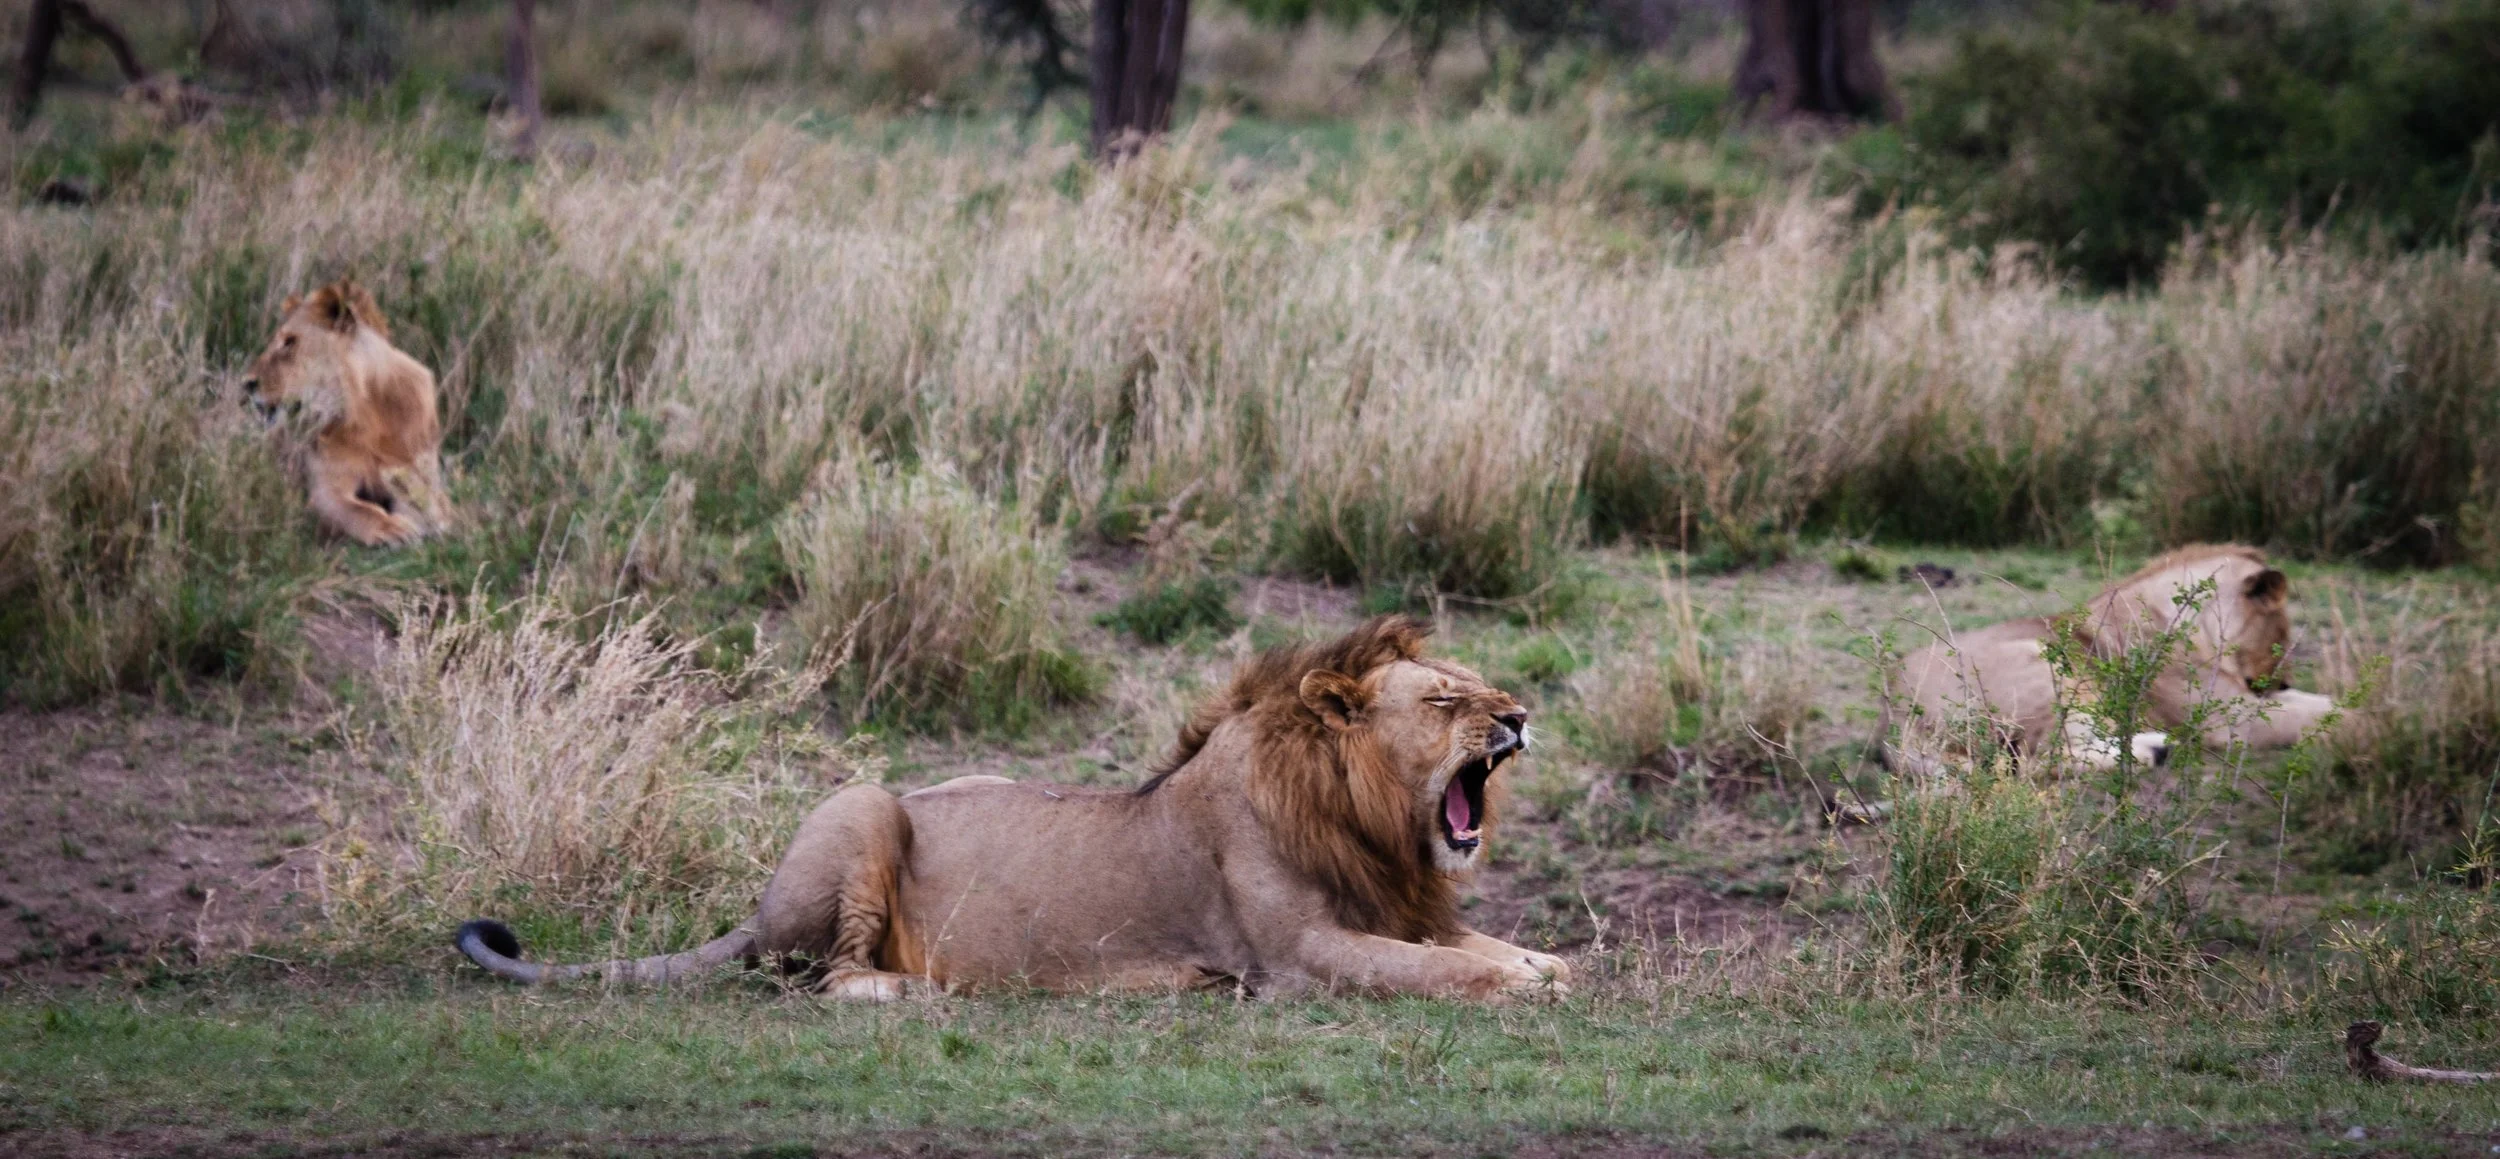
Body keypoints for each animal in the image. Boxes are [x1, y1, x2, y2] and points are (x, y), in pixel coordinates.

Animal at [242, 280, 452, 547]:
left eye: (289, 342)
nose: (246, 383)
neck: (366, 414)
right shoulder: (324, 490)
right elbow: (358, 511)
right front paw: (393, 528)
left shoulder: (417, 477)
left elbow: (428, 507)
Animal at [454, 615, 1570, 1001]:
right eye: (1445, 702)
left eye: (1482, 686)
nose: (1519, 714)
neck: (1373, 827)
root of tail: (754, 911)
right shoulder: (1296, 956)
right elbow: (1442, 970)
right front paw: (1518, 986)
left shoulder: (1402, 907)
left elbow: (1504, 948)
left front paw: (1542, 966)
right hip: (863, 803)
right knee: (833, 976)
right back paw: (918, 990)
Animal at [1887, 544, 2336, 784]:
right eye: (2281, 631)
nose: (2281, 683)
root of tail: (1890, 716)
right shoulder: (2229, 720)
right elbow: (2318, 716)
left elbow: (2322, 704)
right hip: (2046, 670)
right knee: (2038, 759)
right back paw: (2156, 751)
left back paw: (2156, 744)